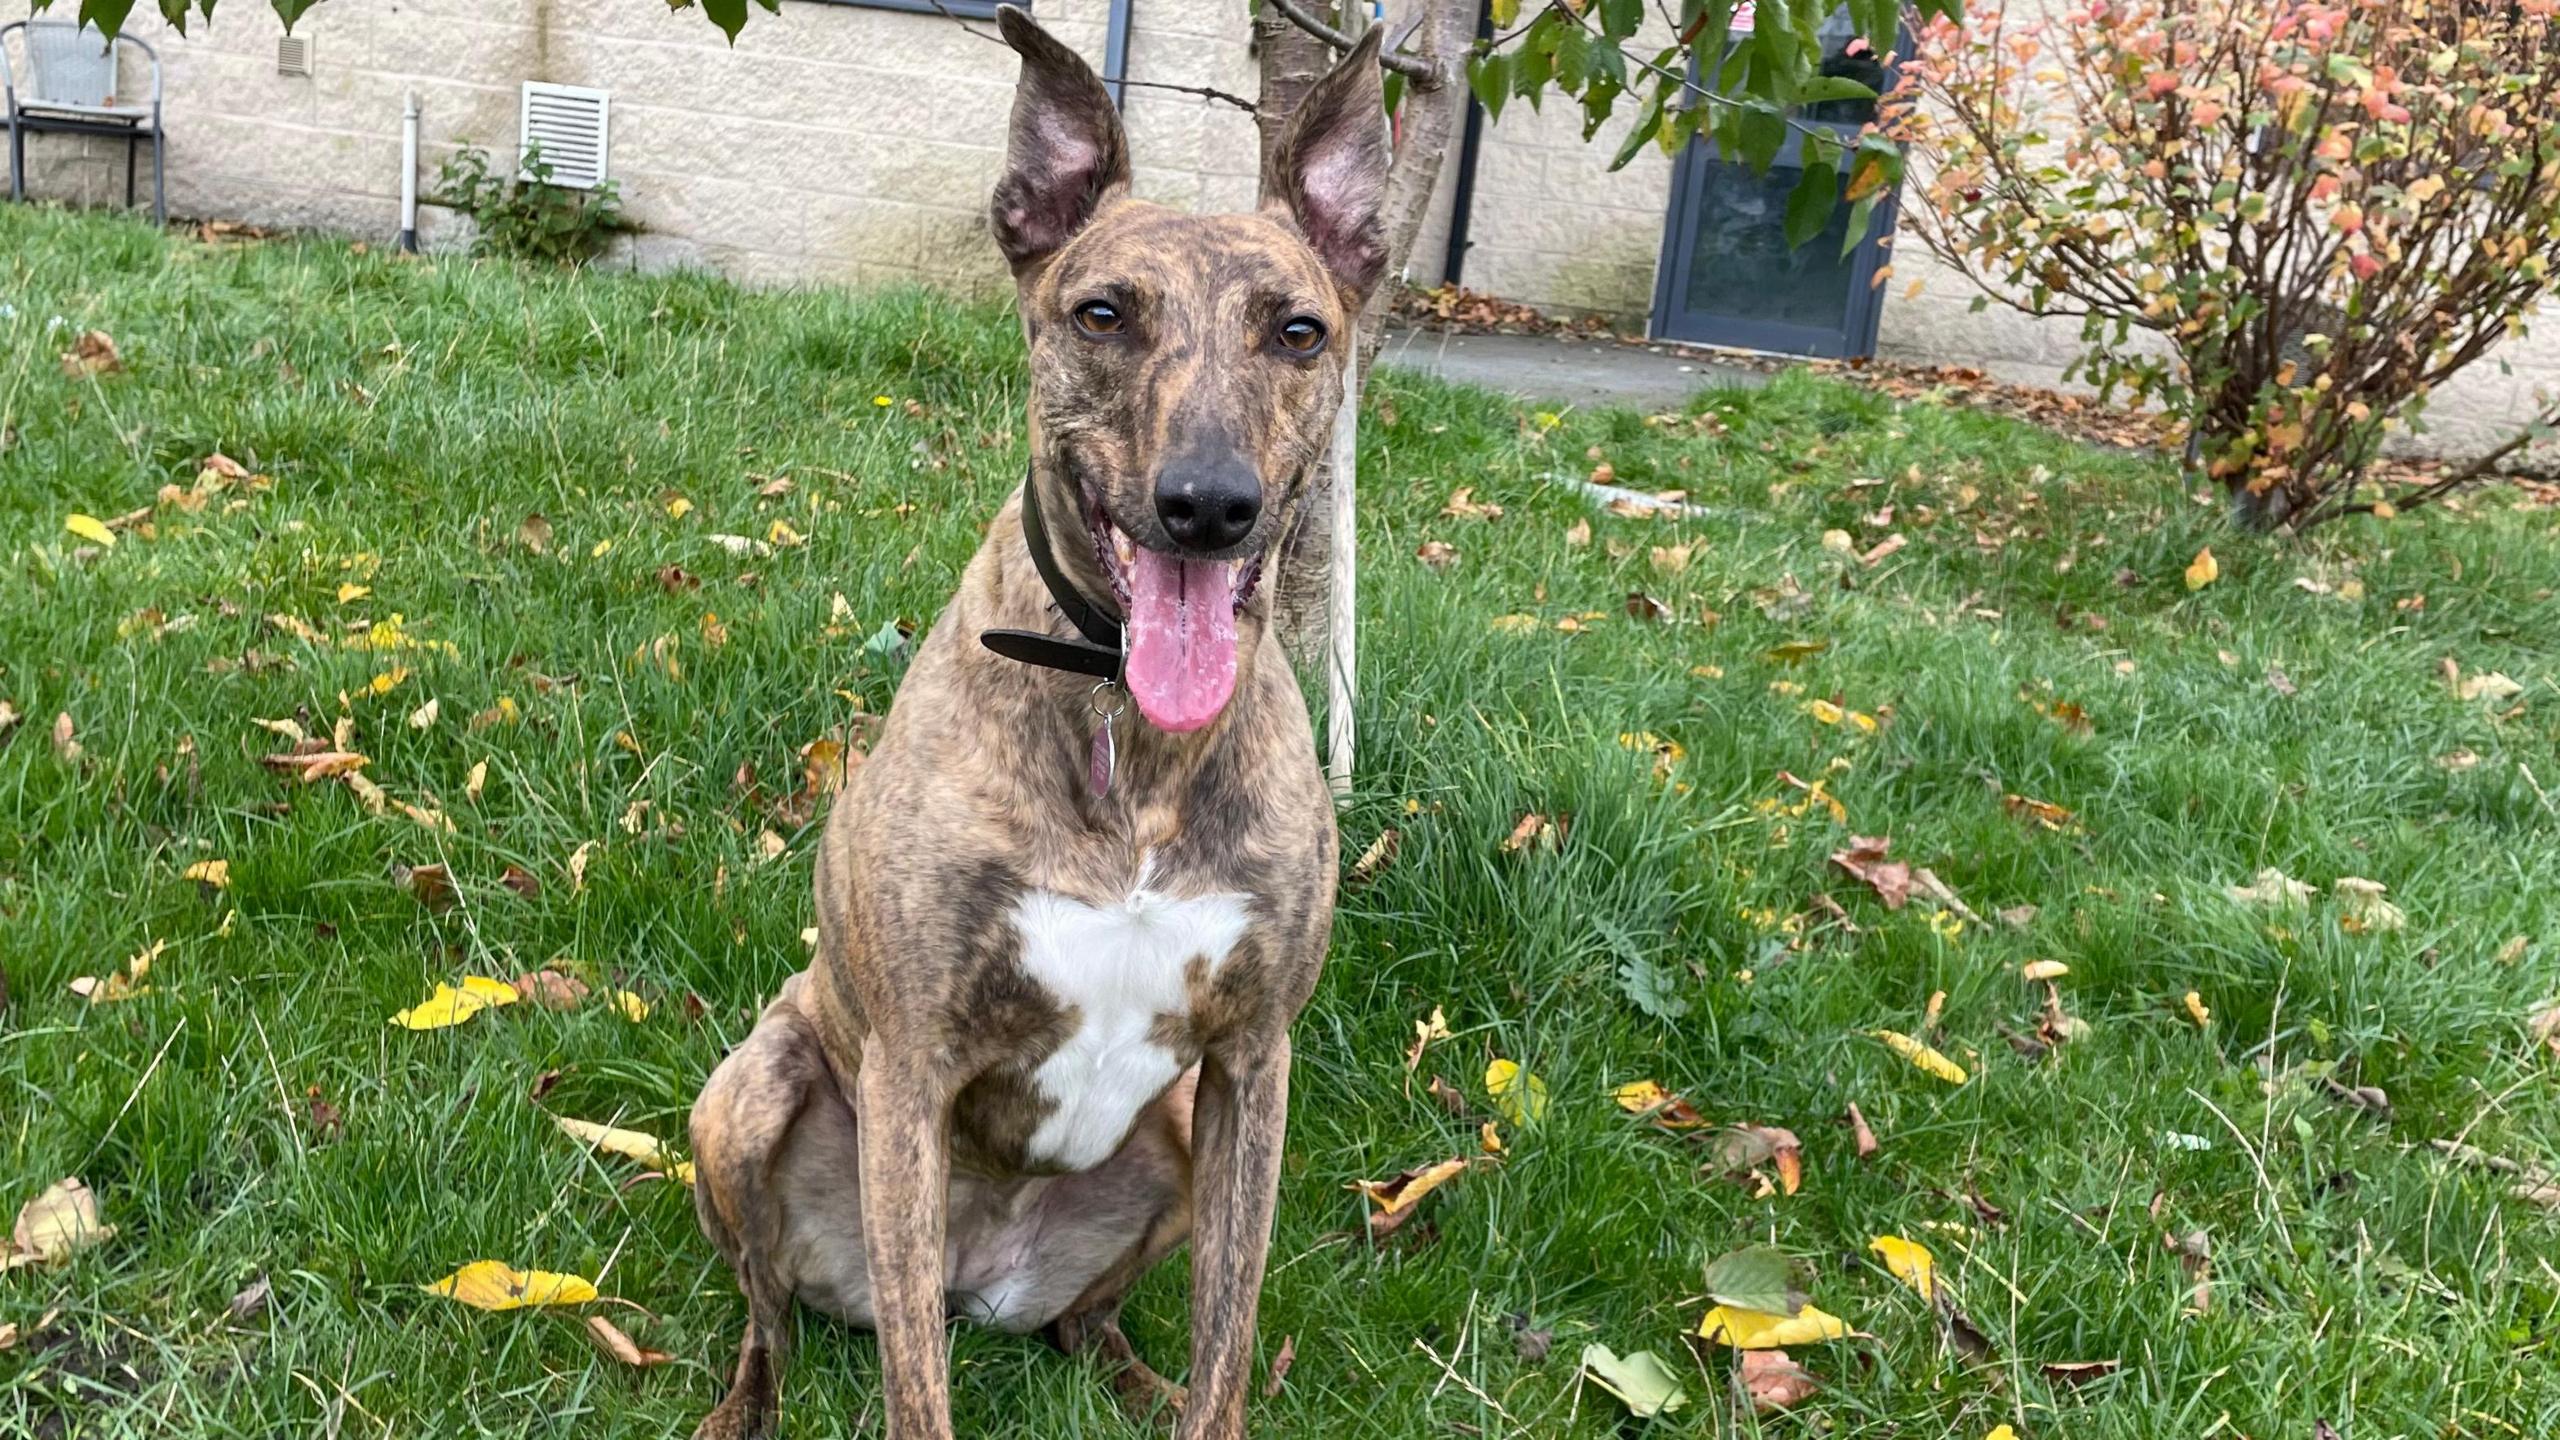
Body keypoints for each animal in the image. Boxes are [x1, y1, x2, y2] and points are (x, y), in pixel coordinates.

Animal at [686, 11, 1382, 1434]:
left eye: (1298, 331)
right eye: (1101, 313)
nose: (1207, 506)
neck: (1127, 726)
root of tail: (981, 1277)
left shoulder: (1251, 1067)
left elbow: (1231, 1348)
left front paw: (1200, 1389)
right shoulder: (910, 1065)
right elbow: (915, 1391)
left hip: (1167, 1143)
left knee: (1087, 1320)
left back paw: (1127, 1373)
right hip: (753, 1089)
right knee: (768, 1312)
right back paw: (745, 1402)